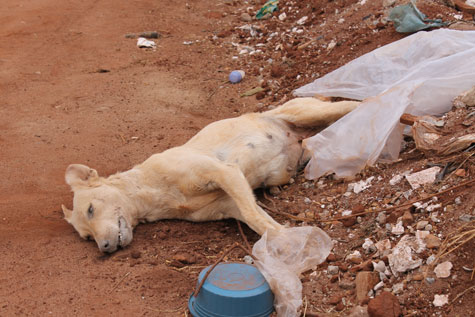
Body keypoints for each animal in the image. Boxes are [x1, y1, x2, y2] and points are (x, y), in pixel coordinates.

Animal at [61, 97, 358, 253]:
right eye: (86, 238)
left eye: (90, 209)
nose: (104, 248)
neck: (153, 192)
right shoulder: (229, 205)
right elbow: (261, 223)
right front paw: (290, 241)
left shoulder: (224, 172)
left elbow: (254, 215)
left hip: (309, 112)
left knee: (351, 105)